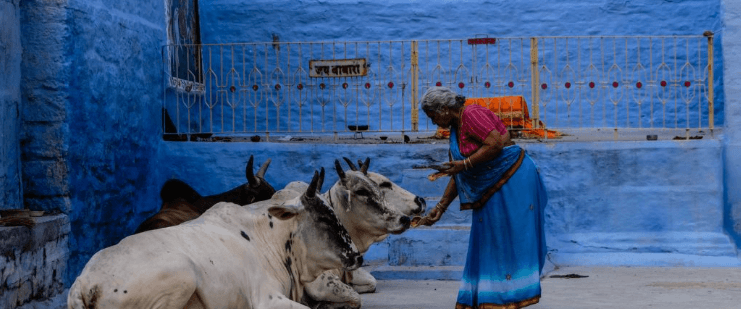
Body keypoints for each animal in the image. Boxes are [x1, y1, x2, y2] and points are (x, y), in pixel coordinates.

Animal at [68, 171, 362, 308]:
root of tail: (84, 281)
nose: (357, 256)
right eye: (324, 218)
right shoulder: (267, 299)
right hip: (183, 274)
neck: (271, 239)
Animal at [280, 158, 424, 306]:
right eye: (361, 191)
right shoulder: (320, 283)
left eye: (378, 187)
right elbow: (355, 297)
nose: (404, 219)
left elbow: (371, 283)